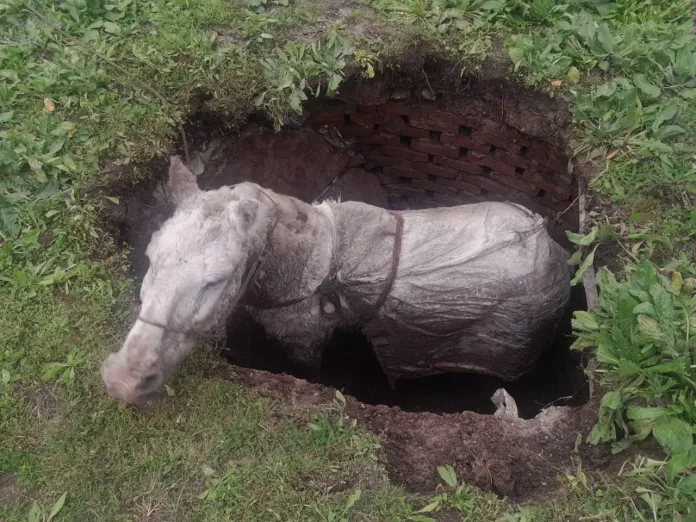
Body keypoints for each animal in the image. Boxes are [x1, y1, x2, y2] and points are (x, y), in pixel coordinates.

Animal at [101, 156, 570, 404]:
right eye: (150, 256)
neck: (308, 265)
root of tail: (548, 242)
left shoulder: (305, 343)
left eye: (217, 280)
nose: (123, 380)